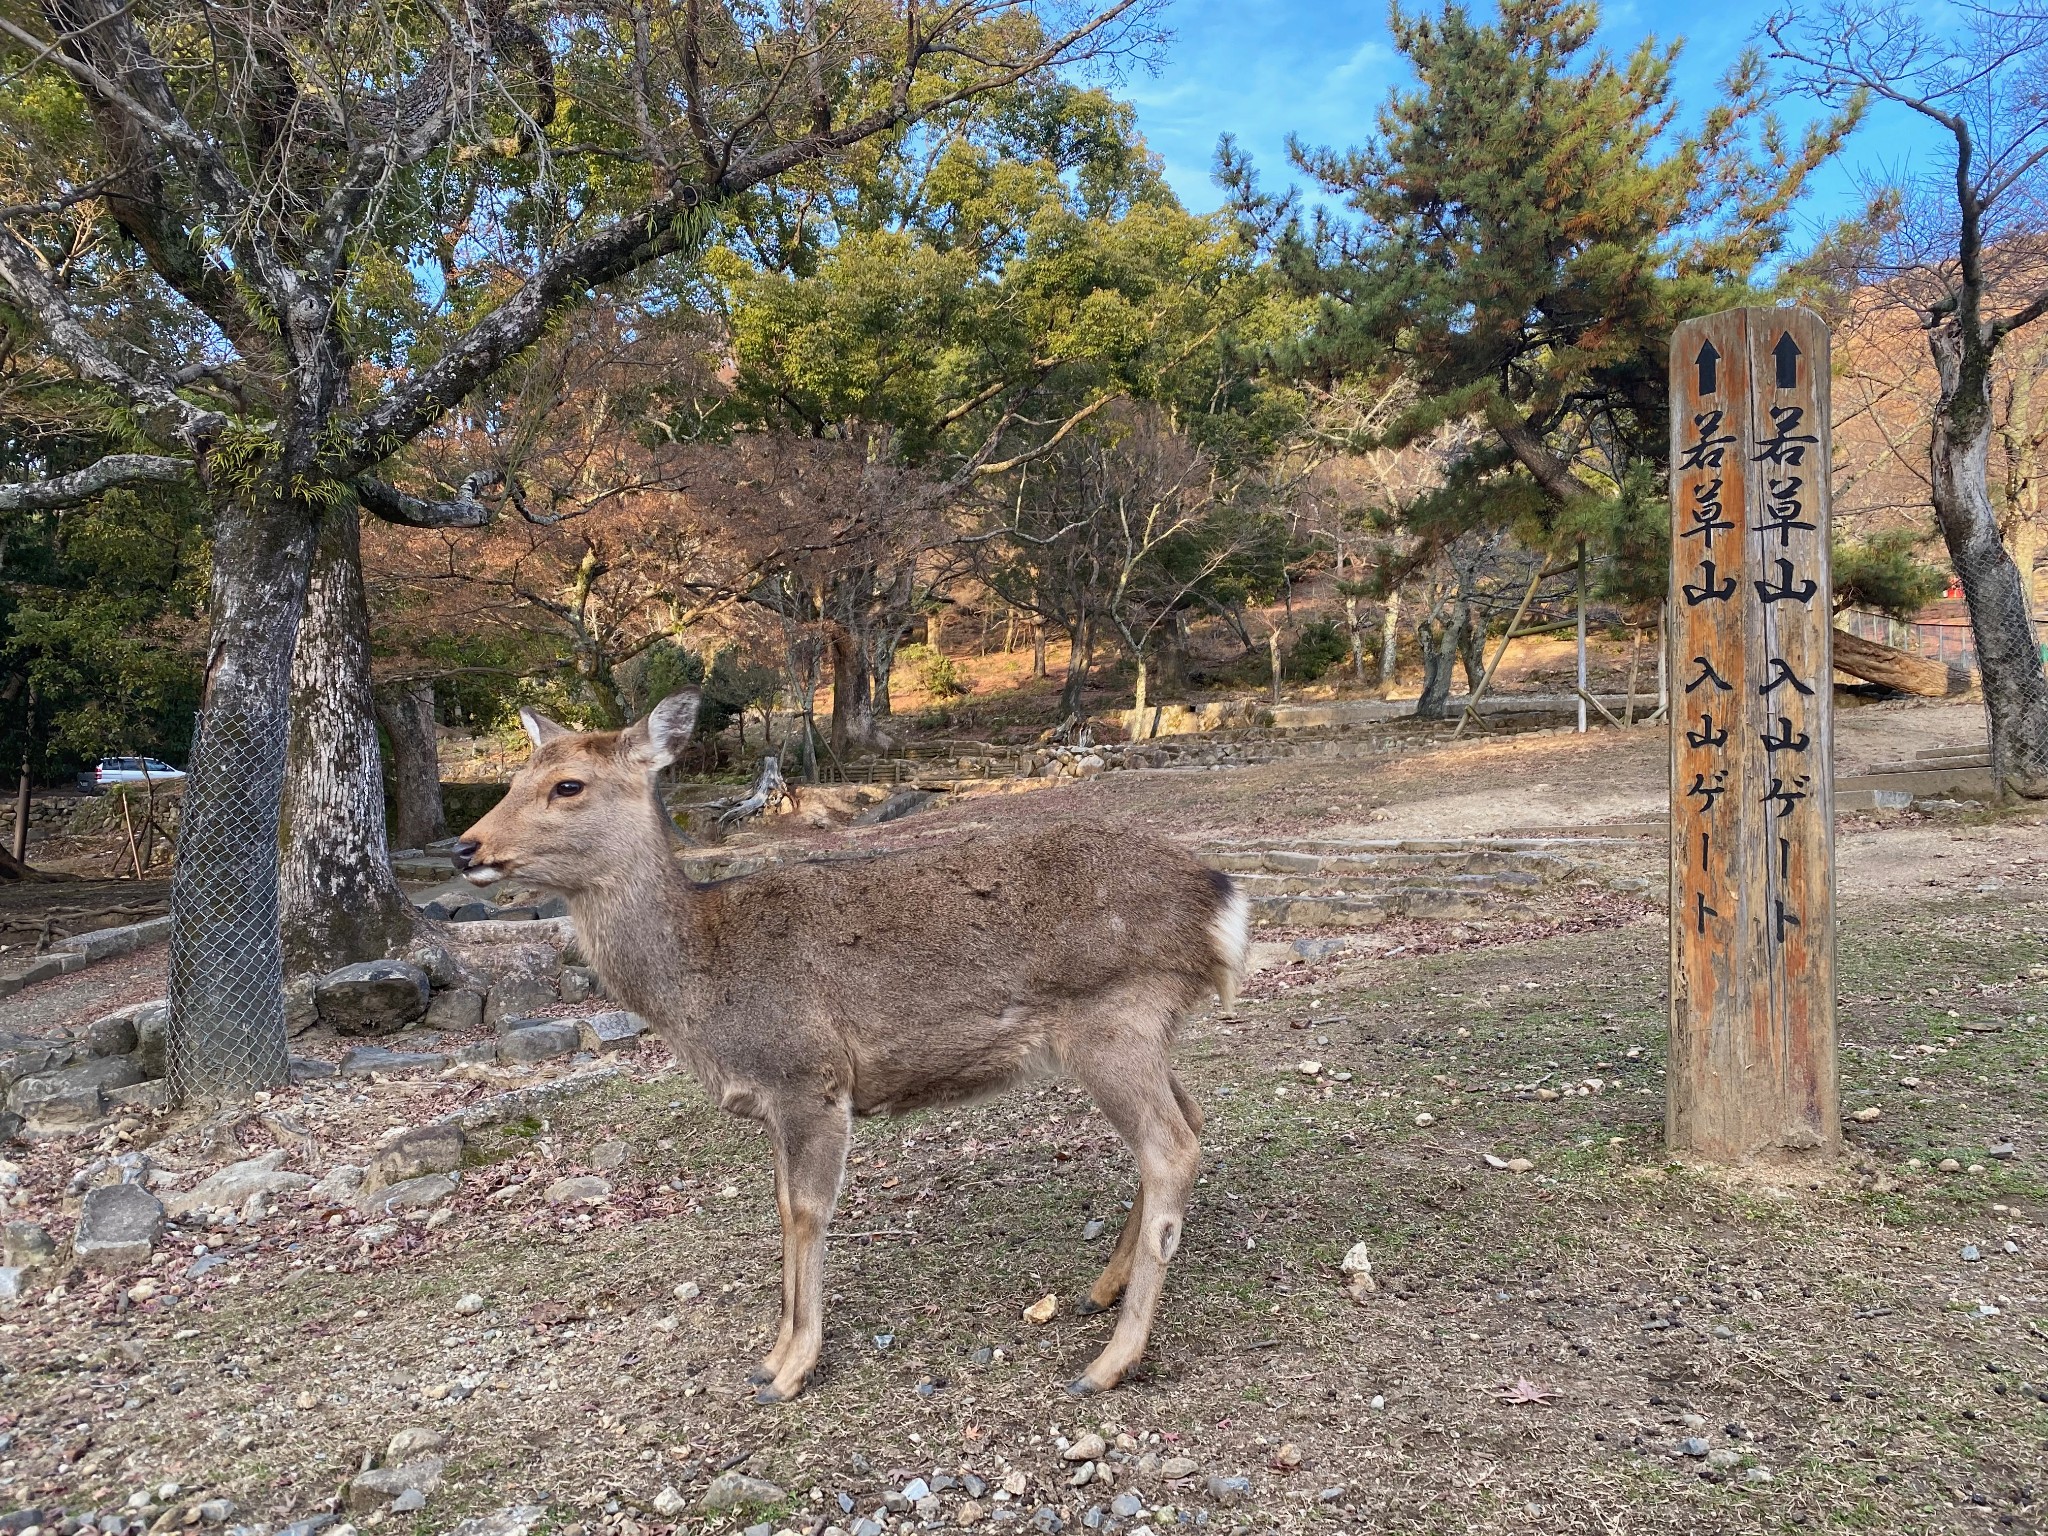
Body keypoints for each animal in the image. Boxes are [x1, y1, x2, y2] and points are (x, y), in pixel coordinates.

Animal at [450, 696, 1245, 1409]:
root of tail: (1221, 904)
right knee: (1194, 1117)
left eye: (568, 784)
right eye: (515, 777)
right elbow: (779, 1206)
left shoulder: (811, 1077)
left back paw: (1107, 1363)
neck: (702, 990)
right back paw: (1099, 1291)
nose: (466, 847)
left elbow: (807, 1212)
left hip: (1114, 1021)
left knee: (1172, 1146)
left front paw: (791, 1370)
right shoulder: (772, 1099)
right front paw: (769, 1356)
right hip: (1144, 1029)